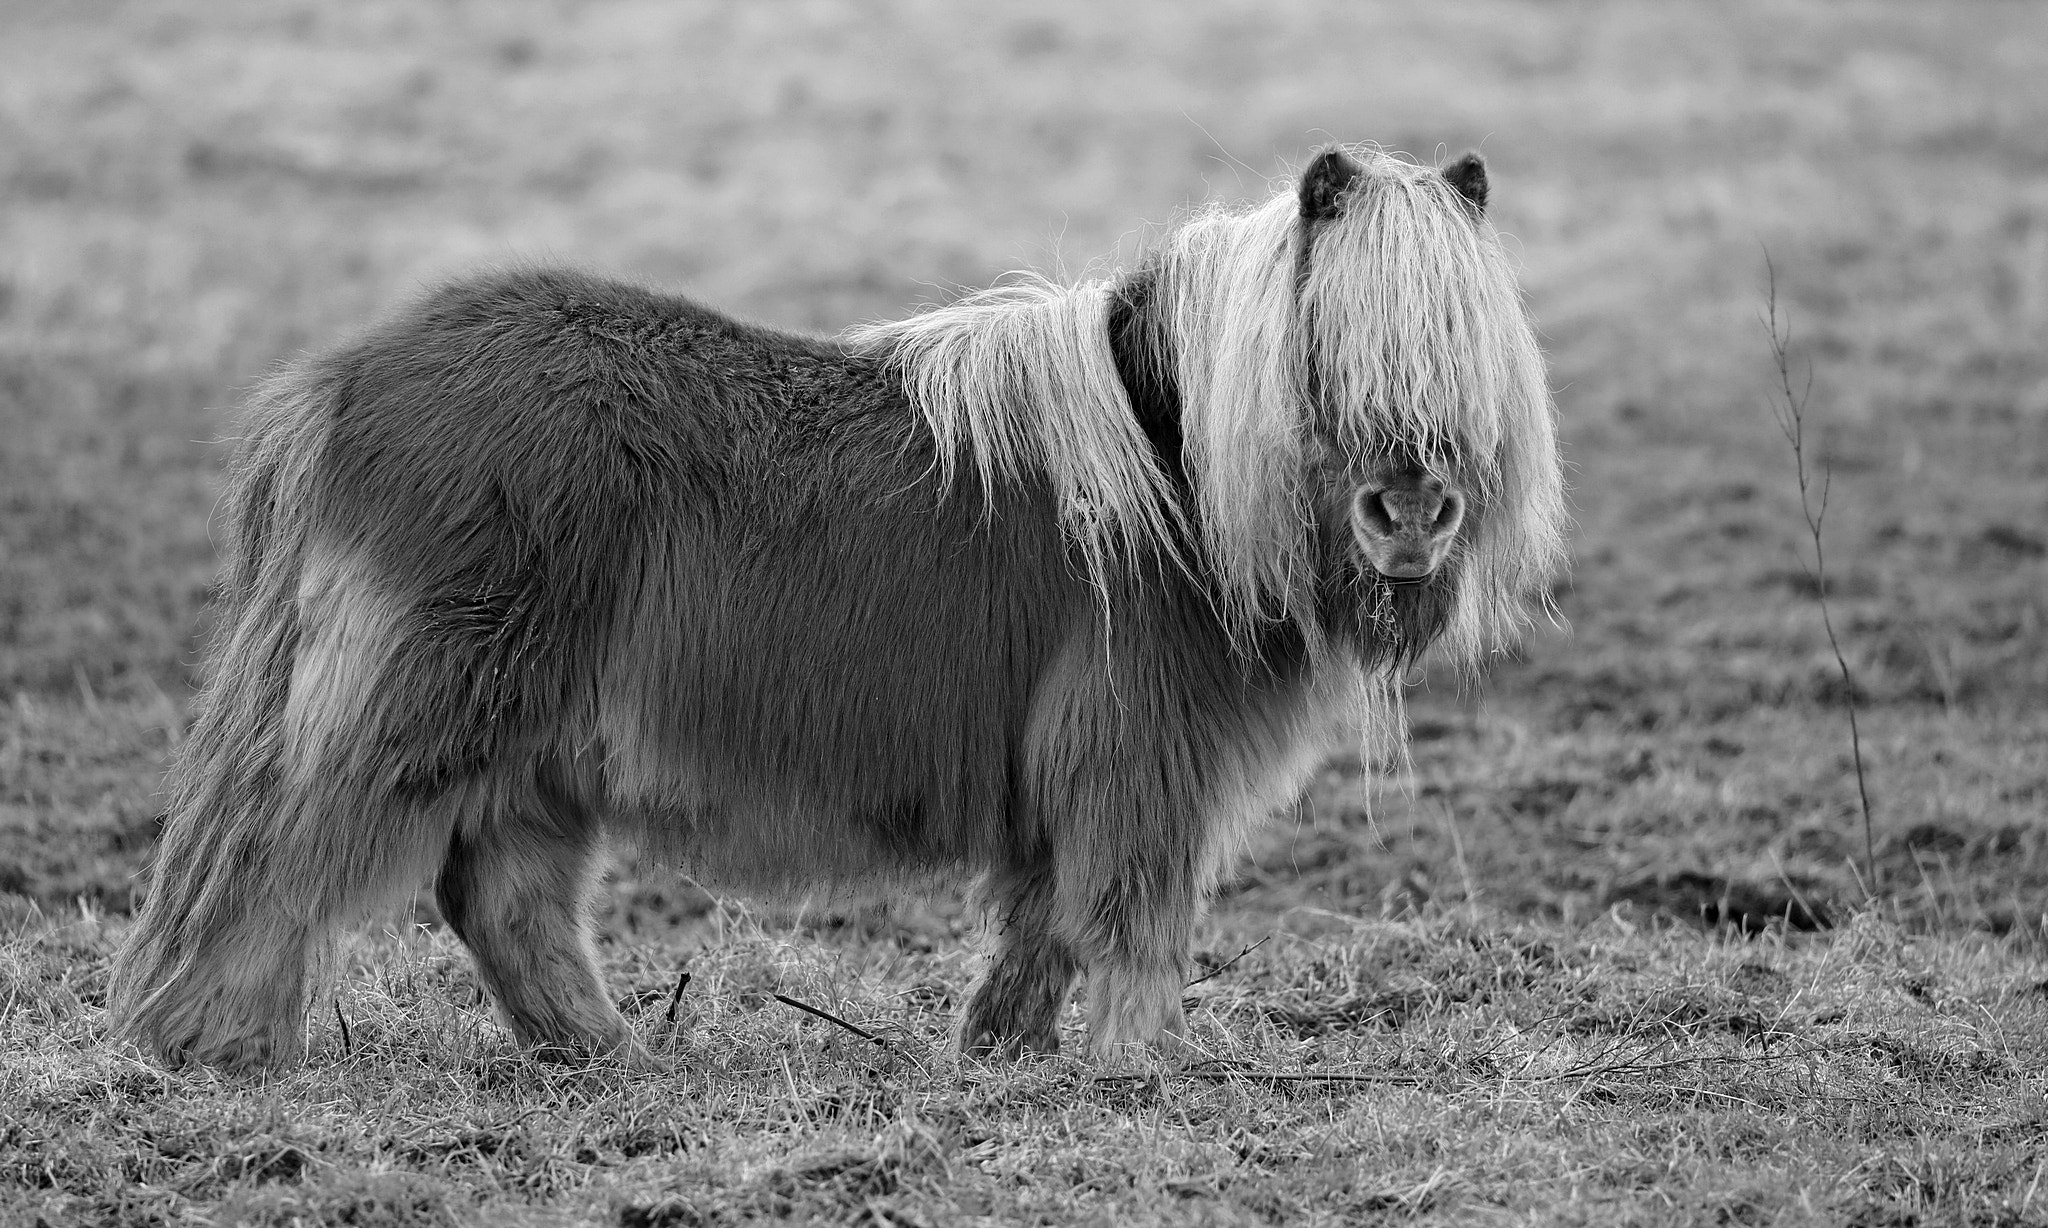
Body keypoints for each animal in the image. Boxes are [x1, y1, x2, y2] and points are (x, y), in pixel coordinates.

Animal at [110, 145, 1568, 1071]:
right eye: (1332, 351)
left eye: (1466, 347)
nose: (1410, 516)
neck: (1175, 467)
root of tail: (343, 377)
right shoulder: (1139, 763)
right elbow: (1131, 921)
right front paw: (1132, 1068)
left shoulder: (1067, 779)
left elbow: (1043, 922)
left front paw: (1002, 1053)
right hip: (423, 706)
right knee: (277, 859)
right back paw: (216, 1047)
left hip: (533, 748)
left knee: (500, 898)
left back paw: (609, 1055)